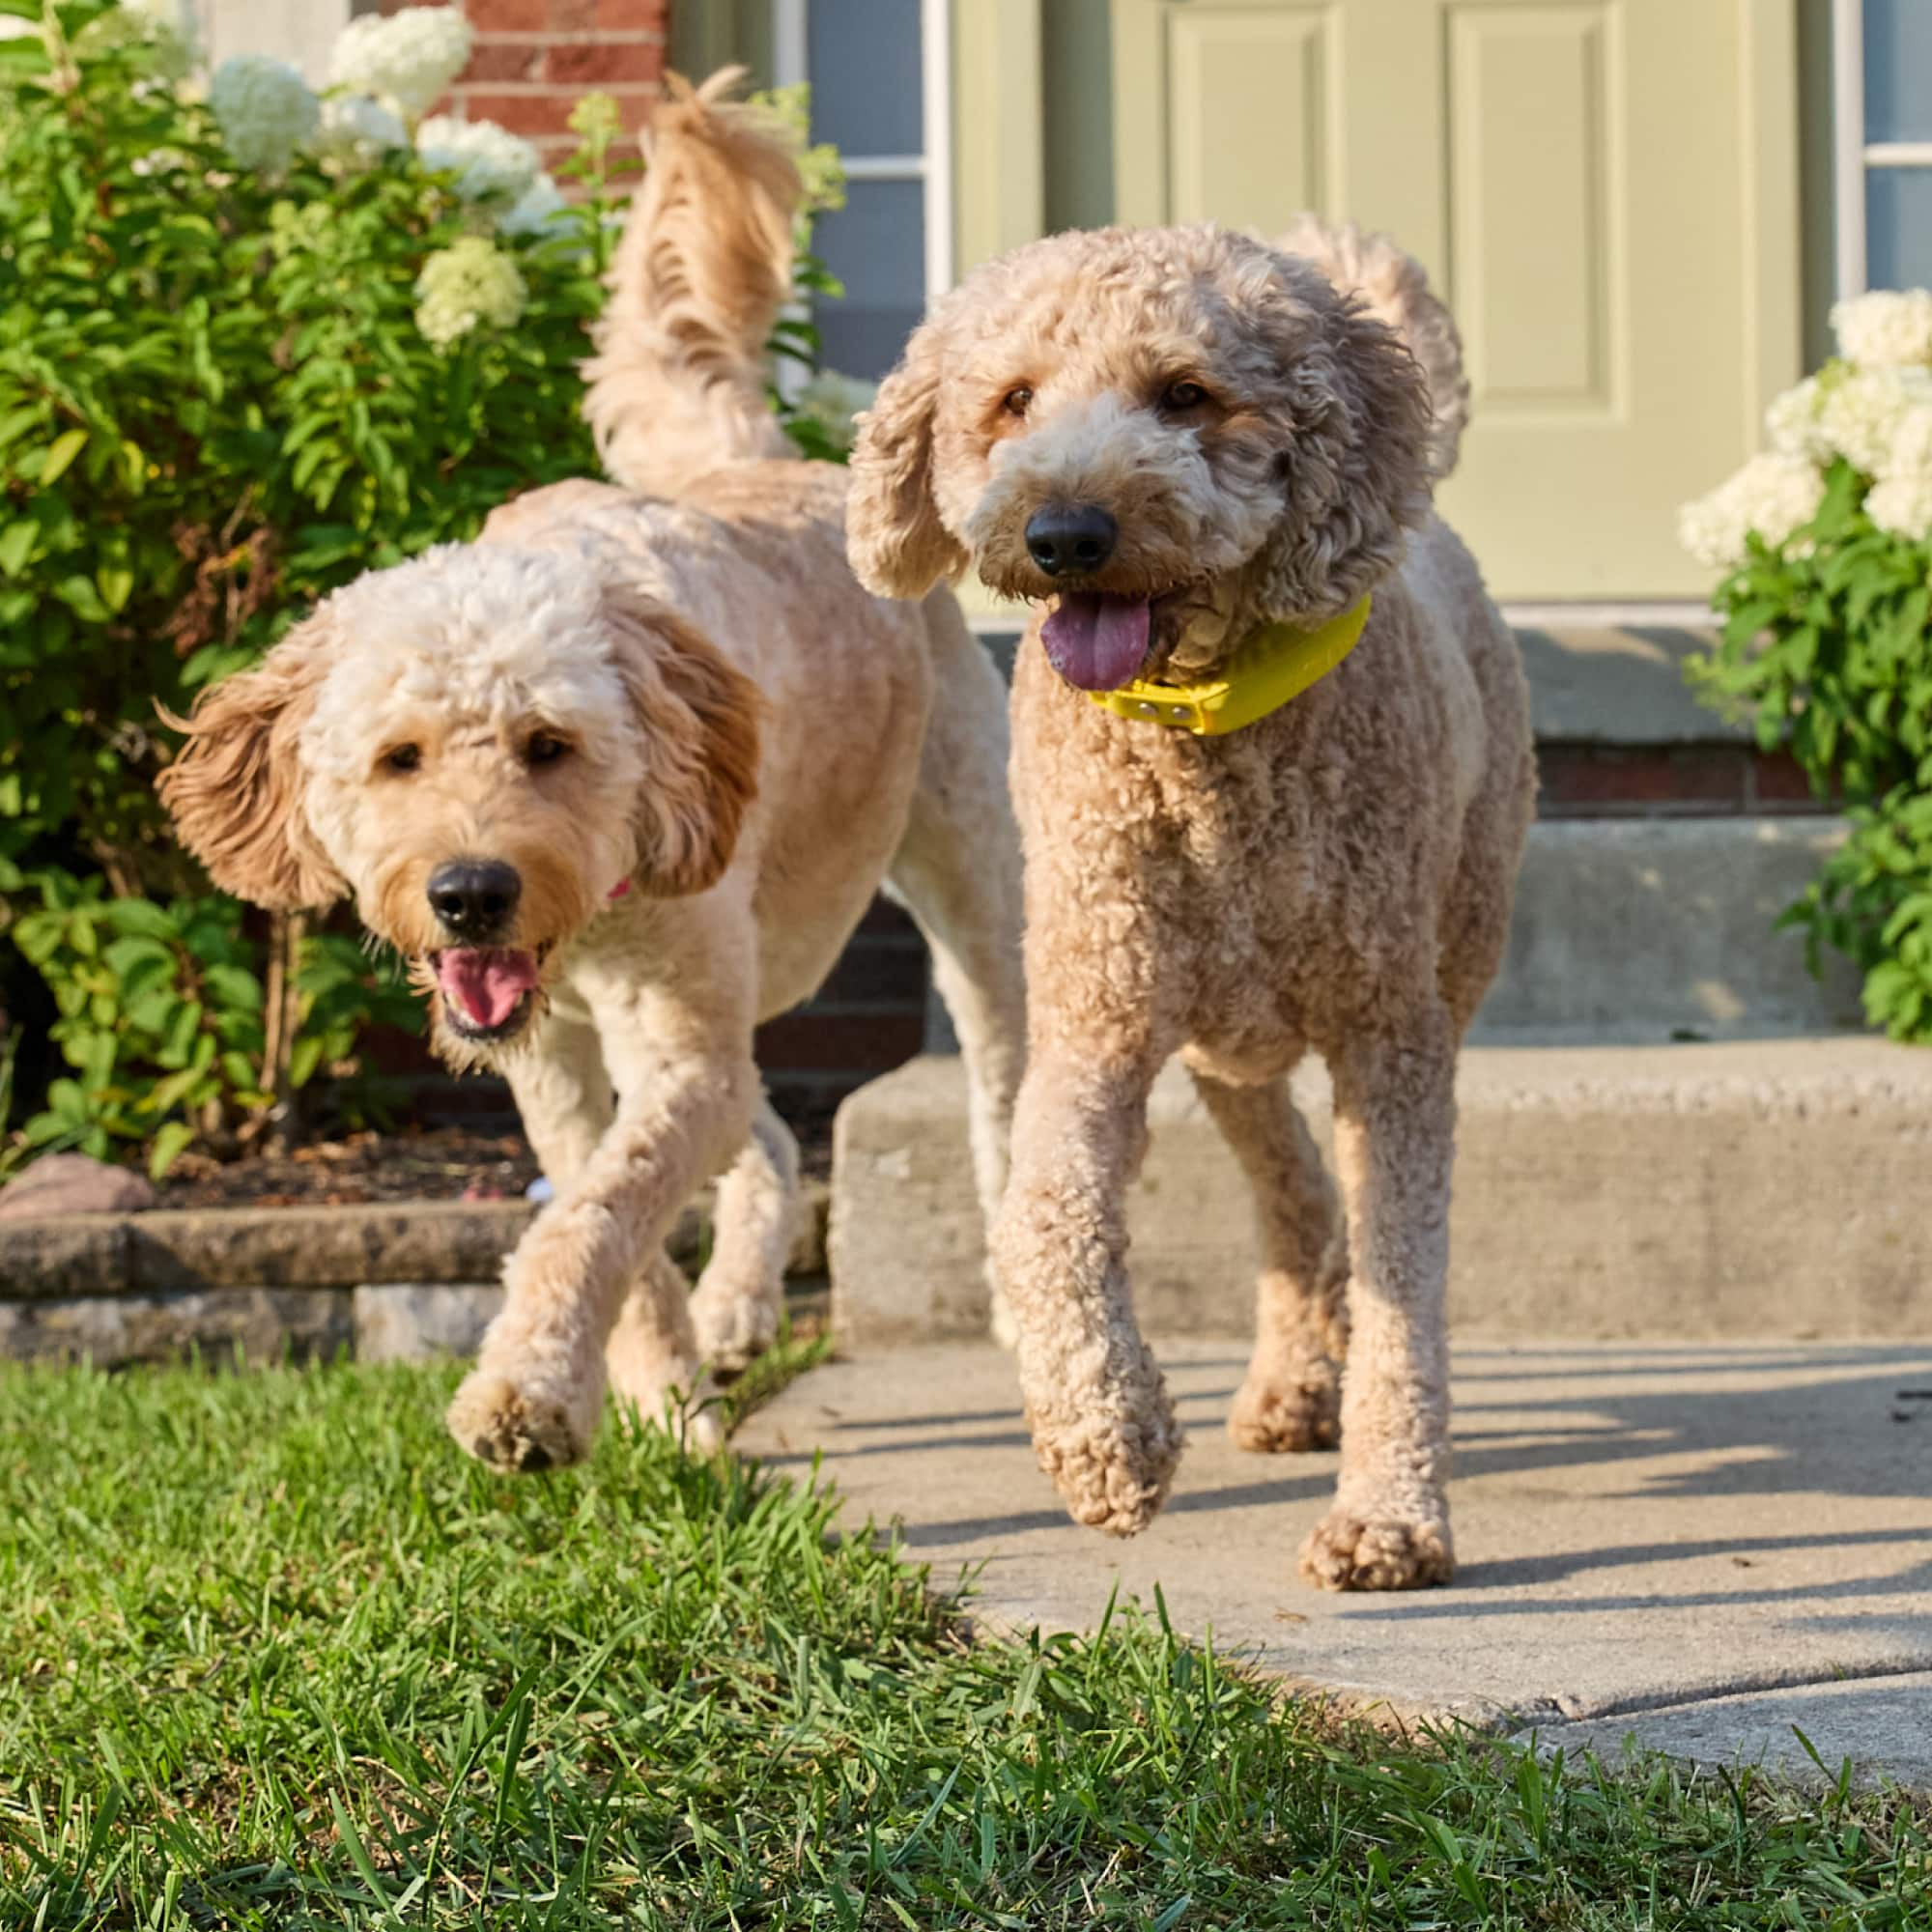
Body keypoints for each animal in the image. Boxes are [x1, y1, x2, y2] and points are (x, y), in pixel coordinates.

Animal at [158, 71, 1028, 1461]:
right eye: (398, 758)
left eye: (550, 746)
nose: (469, 894)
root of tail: (758, 458)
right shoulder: (555, 1068)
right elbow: (609, 1210)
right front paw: (659, 1388)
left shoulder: (672, 1043)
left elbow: (599, 1214)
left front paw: (529, 1388)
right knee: (767, 1131)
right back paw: (734, 1314)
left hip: (967, 893)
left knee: (990, 1098)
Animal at [854, 219, 1530, 1592]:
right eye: (1011, 402)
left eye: (1184, 394)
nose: (1063, 531)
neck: (1204, 737)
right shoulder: (1092, 1023)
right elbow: (1042, 1217)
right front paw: (1106, 1439)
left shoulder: (1391, 1044)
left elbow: (1405, 1277)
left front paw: (1389, 1515)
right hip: (1223, 1044)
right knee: (1294, 1195)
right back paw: (1286, 1380)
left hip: (1431, 958)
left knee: (1326, 1200)